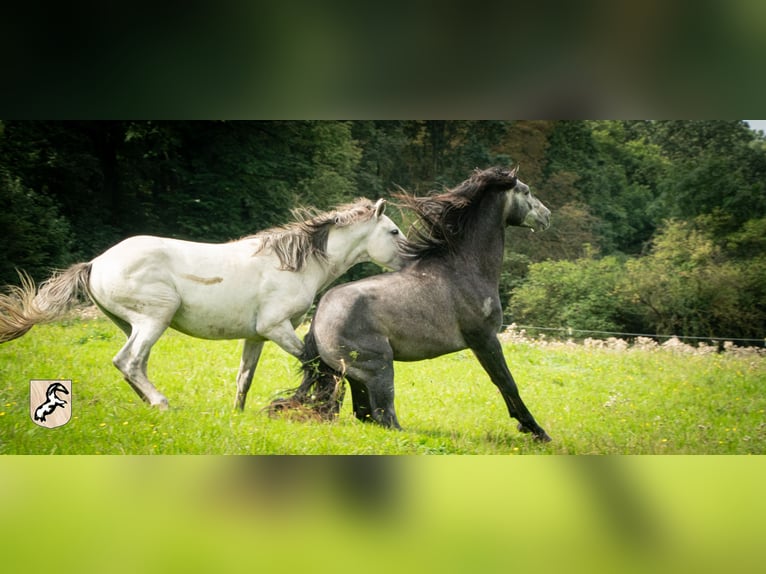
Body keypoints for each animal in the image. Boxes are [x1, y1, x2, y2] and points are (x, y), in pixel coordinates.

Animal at [0, 200, 408, 412]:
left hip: (132, 324)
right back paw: (161, 404)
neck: (292, 264)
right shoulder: (277, 328)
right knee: (128, 362)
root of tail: (97, 262)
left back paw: (150, 404)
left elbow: (245, 376)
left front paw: (238, 414)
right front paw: (322, 402)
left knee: (133, 365)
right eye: (393, 231)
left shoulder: (258, 336)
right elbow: (315, 361)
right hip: (154, 318)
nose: (412, 261)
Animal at [272, 164, 556, 444]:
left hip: (355, 377)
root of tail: (318, 320)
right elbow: (506, 382)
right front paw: (536, 430)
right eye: (526, 191)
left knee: (364, 415)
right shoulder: (484, 339)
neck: (464, 268)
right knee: (384, 418)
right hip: (379, 369)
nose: (547, 216)